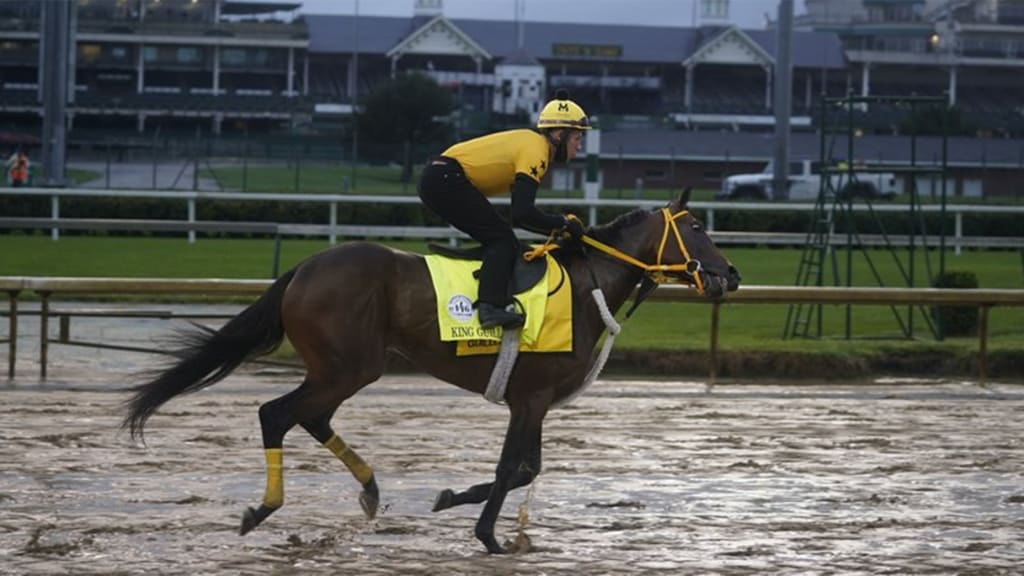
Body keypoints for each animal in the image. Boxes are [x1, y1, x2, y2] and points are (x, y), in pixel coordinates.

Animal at [123, 188, 741, 553]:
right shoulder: (530, 398)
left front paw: (453, 501)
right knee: (276, 413)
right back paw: (266, 507)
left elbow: (527, 470)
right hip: (348, 367)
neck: (584, 286)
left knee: (311, 418)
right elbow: (513, 467)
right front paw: (488, 534)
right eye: (696, 228)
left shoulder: (535, 401)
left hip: (344, 368)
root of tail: (304, 267)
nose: (730, 275)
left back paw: (370, 489)